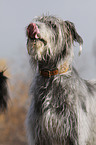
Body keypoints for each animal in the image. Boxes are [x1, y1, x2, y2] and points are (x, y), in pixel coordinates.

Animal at [25, 15, 96, 144]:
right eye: (38, 20)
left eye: (53, 25)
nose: (31, 26)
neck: (51, 75)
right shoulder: (38, 135)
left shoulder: (76, 133)